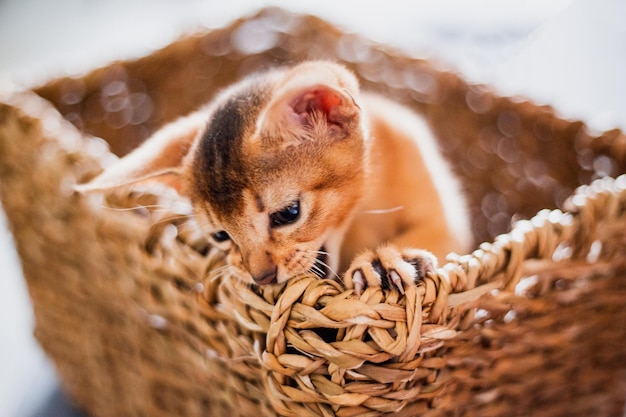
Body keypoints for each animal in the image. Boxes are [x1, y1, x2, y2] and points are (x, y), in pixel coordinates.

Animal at [79, 61, 468, 292]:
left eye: (288, 214)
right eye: (220, 235)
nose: (261, 278)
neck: (365, 207)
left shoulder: (448, 220)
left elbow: (436, 233)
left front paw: (388, 259)